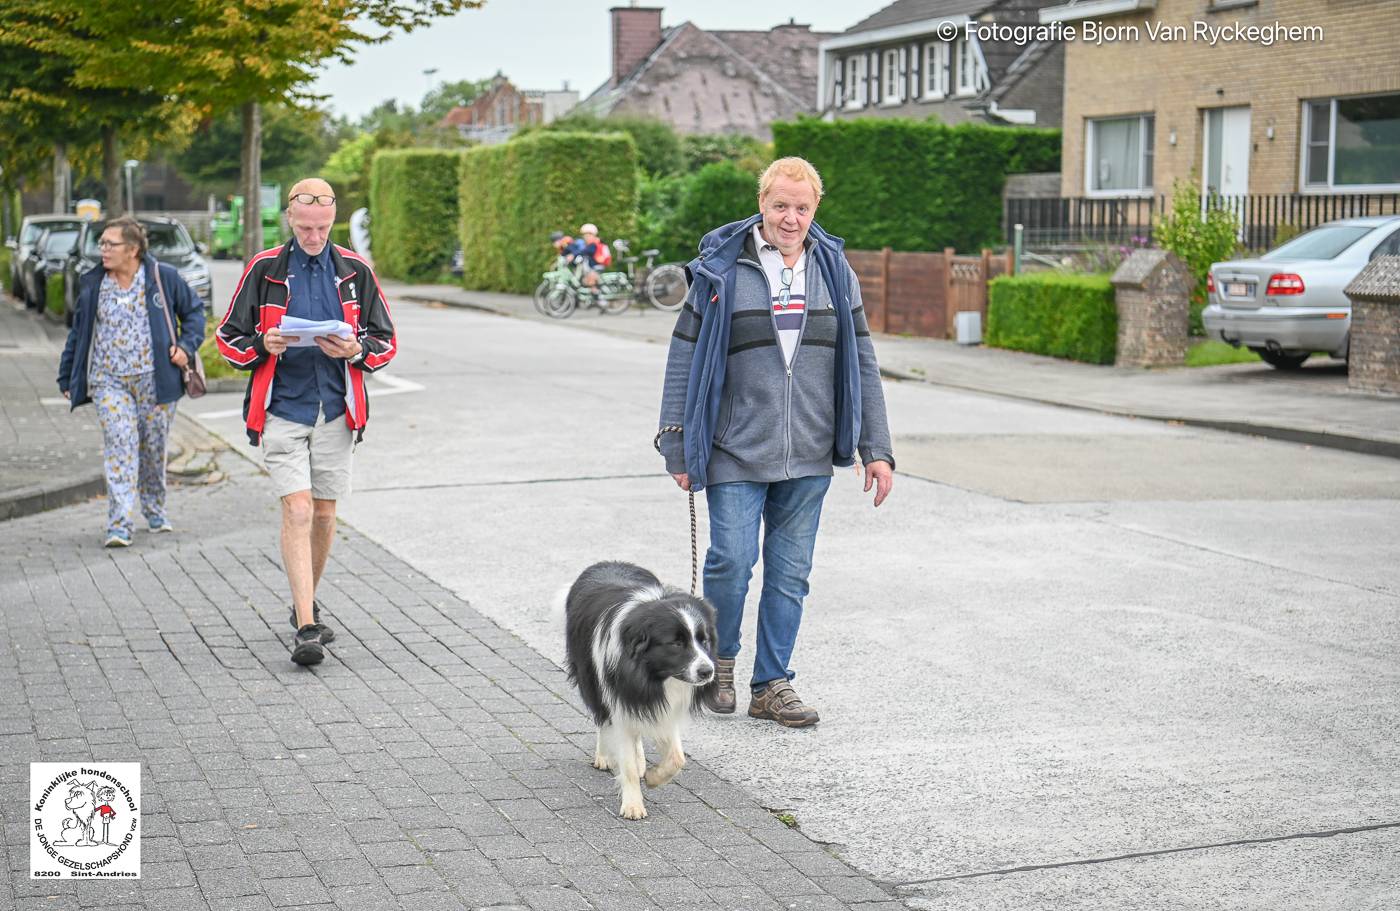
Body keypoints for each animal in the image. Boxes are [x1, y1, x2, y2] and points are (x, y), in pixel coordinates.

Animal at [562, 562, 716, 817]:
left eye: (704, 641)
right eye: (676, 643)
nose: (707, 671)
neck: (651, 674)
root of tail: (607, 562)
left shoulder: (662, 706)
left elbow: (677, 758)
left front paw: (654, 778)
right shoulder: (619, 696)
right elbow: (627, 763)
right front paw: (633, 804)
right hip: (591, 678)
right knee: (602, 717)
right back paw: (604, 755)